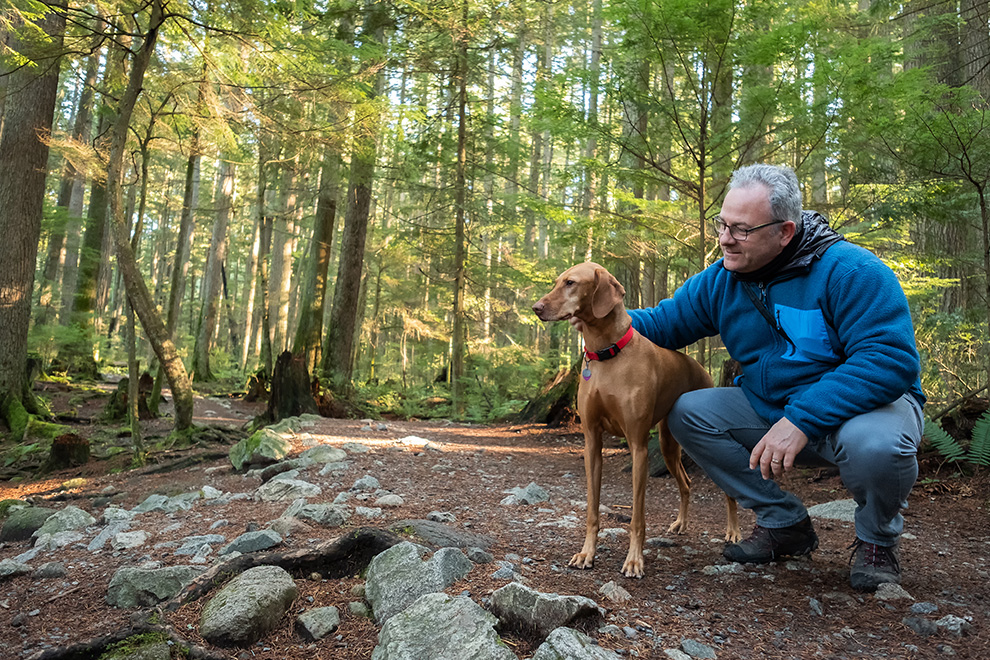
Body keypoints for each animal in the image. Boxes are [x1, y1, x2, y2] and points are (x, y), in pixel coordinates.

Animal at [536, 262, 736, 576]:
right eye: (557, 281)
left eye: (570, 283)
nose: (536, 307)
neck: (607, 355)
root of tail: (702, 369)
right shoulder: (592, 443)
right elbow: (592, 510)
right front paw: (586, 553)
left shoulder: (638, 447)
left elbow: (637, 518)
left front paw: (634, 560)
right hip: (667, 445)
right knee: (686, 483)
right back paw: (681, 523)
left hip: (696, 446)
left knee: (729, 491)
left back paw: (734, 531)